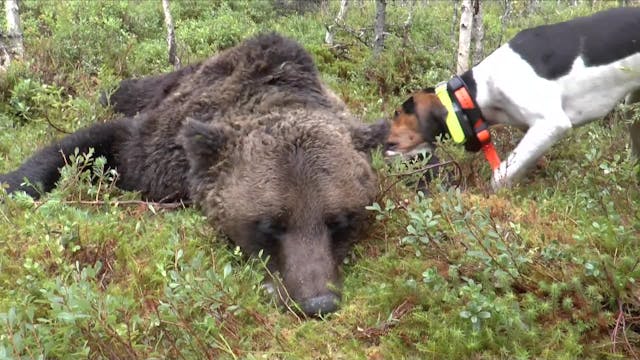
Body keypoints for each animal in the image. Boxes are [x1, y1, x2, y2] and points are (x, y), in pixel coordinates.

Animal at [0, 33, 388, 316]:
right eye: (270, 224)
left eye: (340, 220)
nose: (317, 303)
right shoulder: (160, 149)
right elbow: (96, 144)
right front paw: (13, 183)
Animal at [384, 7, 640, 190]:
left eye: (397, 113)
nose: (384, 144)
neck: (478, 90)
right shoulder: (530, 131)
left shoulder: (551, 124)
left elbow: (499, 176)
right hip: (632, 108)